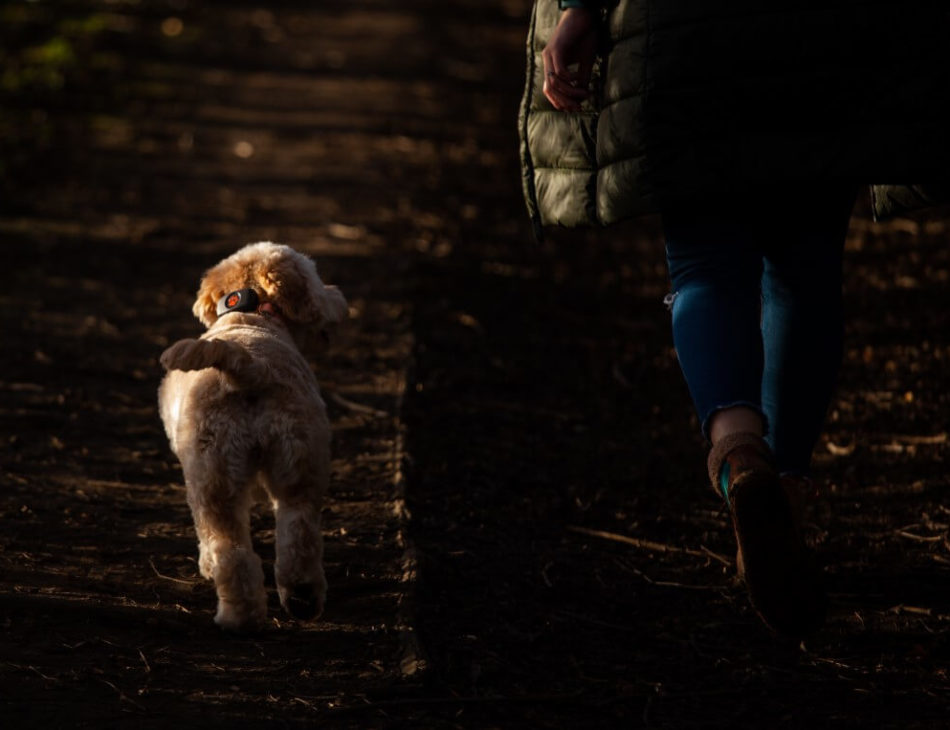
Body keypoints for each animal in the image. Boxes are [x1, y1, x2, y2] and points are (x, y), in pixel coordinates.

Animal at [158, 242, 348, 628]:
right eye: (318, 281)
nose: (339, 295)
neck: (252, 316)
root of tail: (251, 368)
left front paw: (205, 566)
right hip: (299, 468)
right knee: (298, 538)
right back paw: (302, 601)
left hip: (213, 479)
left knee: (230, 550)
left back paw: (238, 616)